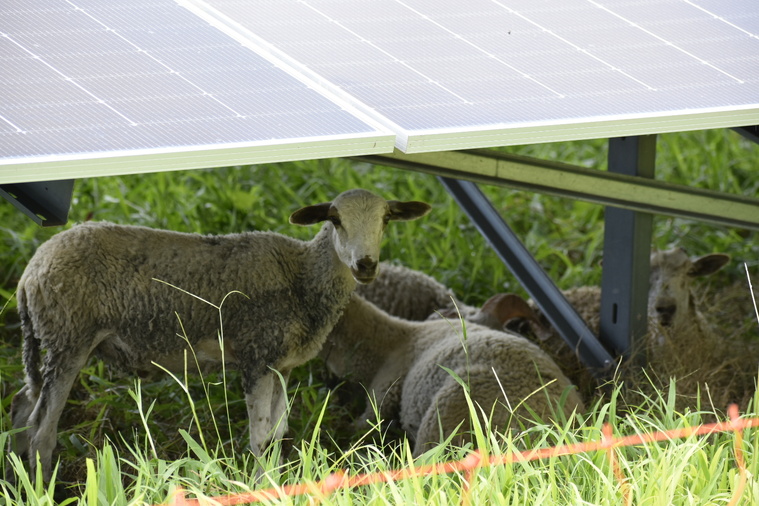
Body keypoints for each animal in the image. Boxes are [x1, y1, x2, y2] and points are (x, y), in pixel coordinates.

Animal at [10, 188, 434, 480]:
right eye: (335, 219)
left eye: (386, 219)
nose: (366, 265)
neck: (302, 277)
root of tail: (30, 273)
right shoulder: (257, 356)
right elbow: (260, 437)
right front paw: (262, 487)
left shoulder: (282, 365)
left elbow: (278, 433)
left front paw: (276, 483)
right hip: (69, 337)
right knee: (41, 430)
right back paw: (44, 486)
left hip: (50, 342)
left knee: (21, 408)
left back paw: (18, 479)